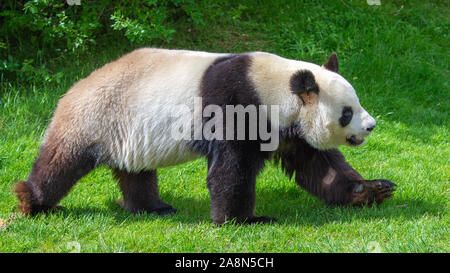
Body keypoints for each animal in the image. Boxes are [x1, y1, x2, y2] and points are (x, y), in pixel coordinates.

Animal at [12, 48, 396, 223]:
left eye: (357, 103)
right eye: (347, 112)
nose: (371, 125)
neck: (277, 87)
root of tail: (72, 88)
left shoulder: (290, 128)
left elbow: (319, 165)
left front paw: (371, 190)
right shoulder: (237, 104)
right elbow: (231, 168)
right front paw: (244, 220)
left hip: (129, 131)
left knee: (136, 172)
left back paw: (153, 207)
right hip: (95, 117)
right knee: (61, 163)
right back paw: (31, 200)